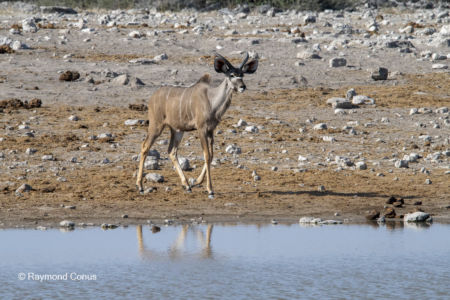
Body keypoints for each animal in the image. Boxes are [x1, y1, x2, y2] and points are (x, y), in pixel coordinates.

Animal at [135, 52, 258, 198]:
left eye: (242, 75)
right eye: (231, 75)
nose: (242, 87)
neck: (212, 101)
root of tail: (152, 97)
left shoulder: (211, 130)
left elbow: (211, 155)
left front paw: (196, 182)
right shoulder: (201, 129)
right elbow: (207, 155)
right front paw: (210, 189)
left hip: (177, 130)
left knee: (171, 151)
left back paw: (187, 185)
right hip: (156, 125)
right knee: (145, 146)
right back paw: (140, 186)